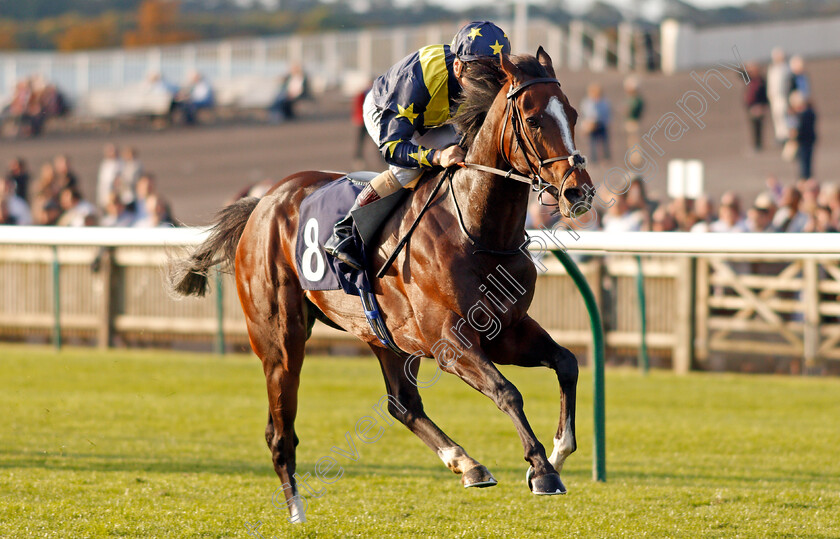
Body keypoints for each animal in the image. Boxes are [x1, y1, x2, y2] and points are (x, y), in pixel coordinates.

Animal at [167, 49, 592, 524]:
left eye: (573, 113)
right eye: (533, 119)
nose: (578, 192)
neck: (477, 229)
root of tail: (262, 202)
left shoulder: (507, 331)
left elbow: (567, 363)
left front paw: (557, 453)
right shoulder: (451, 340)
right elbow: (507, 391)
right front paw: (541, 469)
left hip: (385, 335)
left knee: (402, 403)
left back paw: (467, 463)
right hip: (279, 342)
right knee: (280, 432)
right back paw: (296, 510)